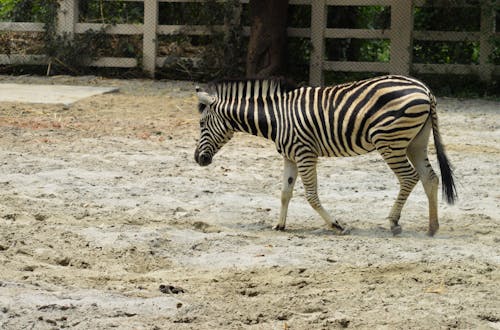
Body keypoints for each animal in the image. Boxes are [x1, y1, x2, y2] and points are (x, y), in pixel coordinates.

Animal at [192, 75, 458, 235]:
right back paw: (432, 227)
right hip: (415, 142)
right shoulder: (290, 156)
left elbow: (311, 195)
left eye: (202, 124)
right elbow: (285, 192)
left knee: (409, 178)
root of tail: (424, 89)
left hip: (389, 141)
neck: (276, 118)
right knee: (430, 178)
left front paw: (336, 224)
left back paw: (394, 222)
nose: (197, 159)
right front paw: (279, 225)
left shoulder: (305, 153)